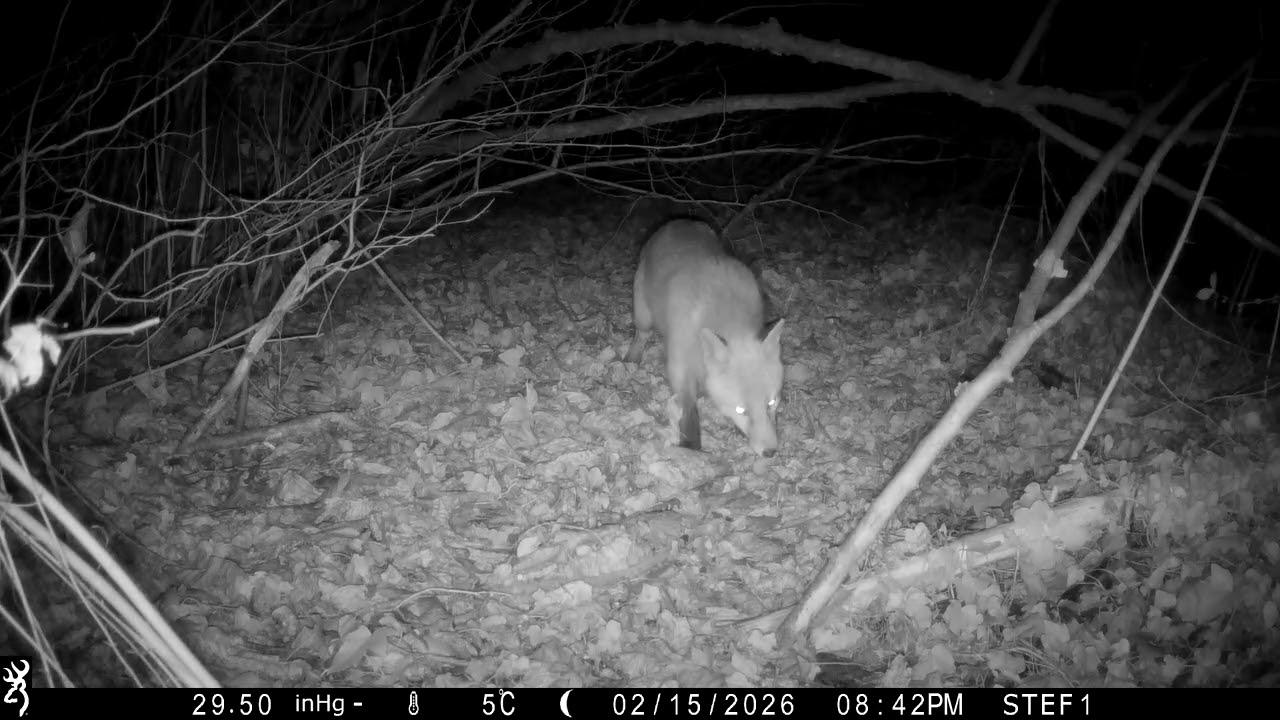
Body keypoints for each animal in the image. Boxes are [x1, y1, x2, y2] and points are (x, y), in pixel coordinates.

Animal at [624, 218, 785, 457]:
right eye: (741, 409)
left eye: (771, 403)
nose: (770, 452)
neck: (728, 314)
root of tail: (679, 221)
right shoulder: (679, 362)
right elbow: (689, 410)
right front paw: (691, 446)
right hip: (643, 313)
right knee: (641, 334)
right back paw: (632, 358)